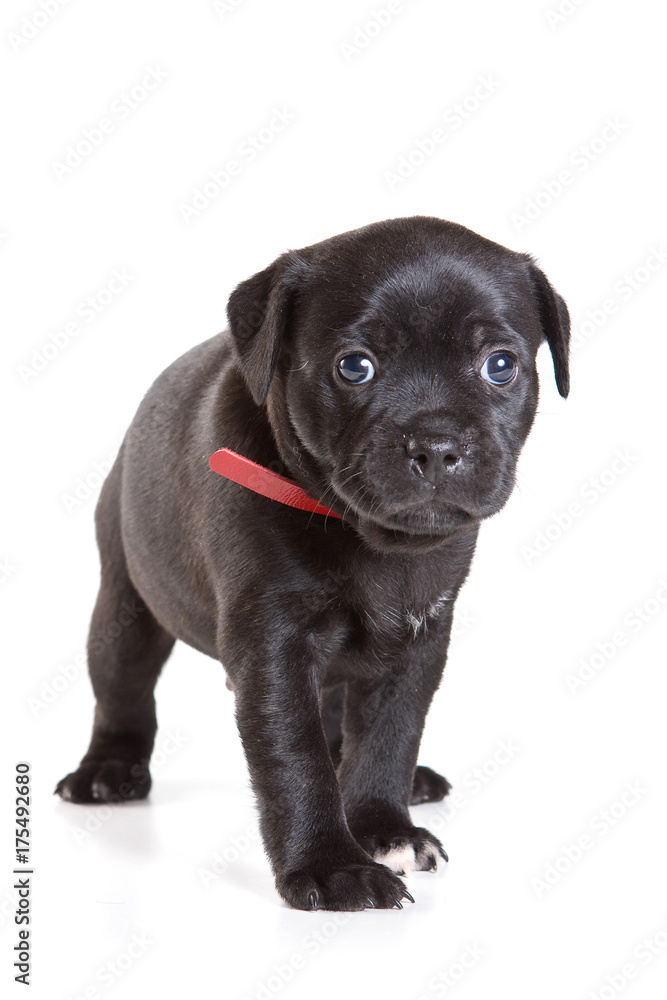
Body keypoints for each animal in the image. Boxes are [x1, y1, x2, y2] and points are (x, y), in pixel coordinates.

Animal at [54, 215, 572, 912]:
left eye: (500, 366)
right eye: (354, 367)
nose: (437, 444)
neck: (374, 542)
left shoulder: (418, 641)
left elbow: (389, 737)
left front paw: (382, 827)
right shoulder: (274, 647)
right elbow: (294, 760)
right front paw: (332, 867)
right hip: (125, 604)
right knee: (122, 690)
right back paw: (108, 770)